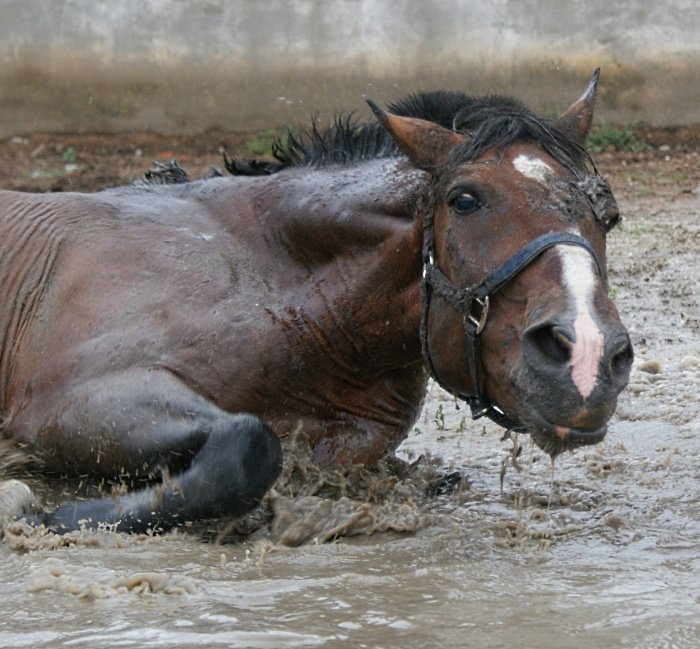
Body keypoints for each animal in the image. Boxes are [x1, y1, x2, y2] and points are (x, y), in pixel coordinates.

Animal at [0, 71, 632, 532]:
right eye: (464, 199)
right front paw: (50, 513)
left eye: (607, 211)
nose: (586, 357)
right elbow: (249, 445)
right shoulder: (68, 402)